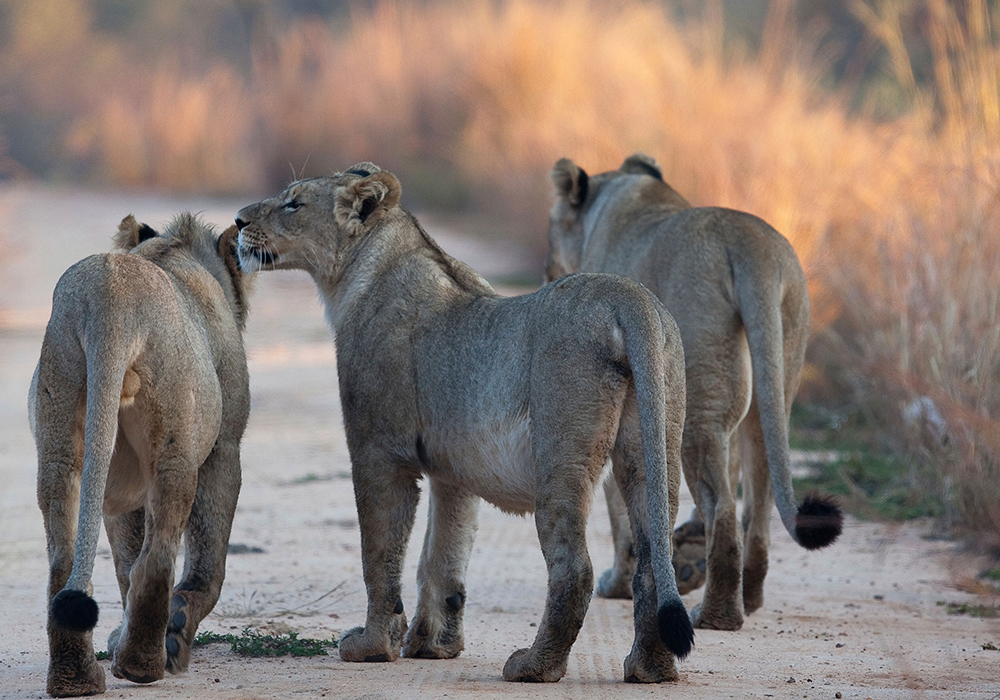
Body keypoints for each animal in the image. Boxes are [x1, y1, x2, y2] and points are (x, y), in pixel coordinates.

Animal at [30, 216, 252, 696]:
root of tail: (111, 297)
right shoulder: (225, 449)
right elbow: (205, 559)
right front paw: (175, 632)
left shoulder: (115, 488)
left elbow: (123, 560)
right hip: (176, 446)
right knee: (158, 558)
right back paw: (143, 662)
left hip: (61, 434)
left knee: (64, 562)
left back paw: (76, 678)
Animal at [236, 165, 696, 684]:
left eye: (293, 203)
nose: (237, 222)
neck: (360, 273)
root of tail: (629, 297)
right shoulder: (452, 469)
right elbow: (442, 557)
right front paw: (432, 644)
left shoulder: (379, 452)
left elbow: (380, 554)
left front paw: (372, 646)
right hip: (652, 445)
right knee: (652, 558)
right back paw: (649, 668)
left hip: (561, 456)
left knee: (573, 570)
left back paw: (533, 666)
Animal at [548, 156, 844, 632]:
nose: (546, 270)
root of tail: (751, 247)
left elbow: (622, 512)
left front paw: (617, 583)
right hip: (770, 383)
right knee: (757, 498)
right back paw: (748, 597)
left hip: (697, 400)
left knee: (722, 506)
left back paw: (716, 614)